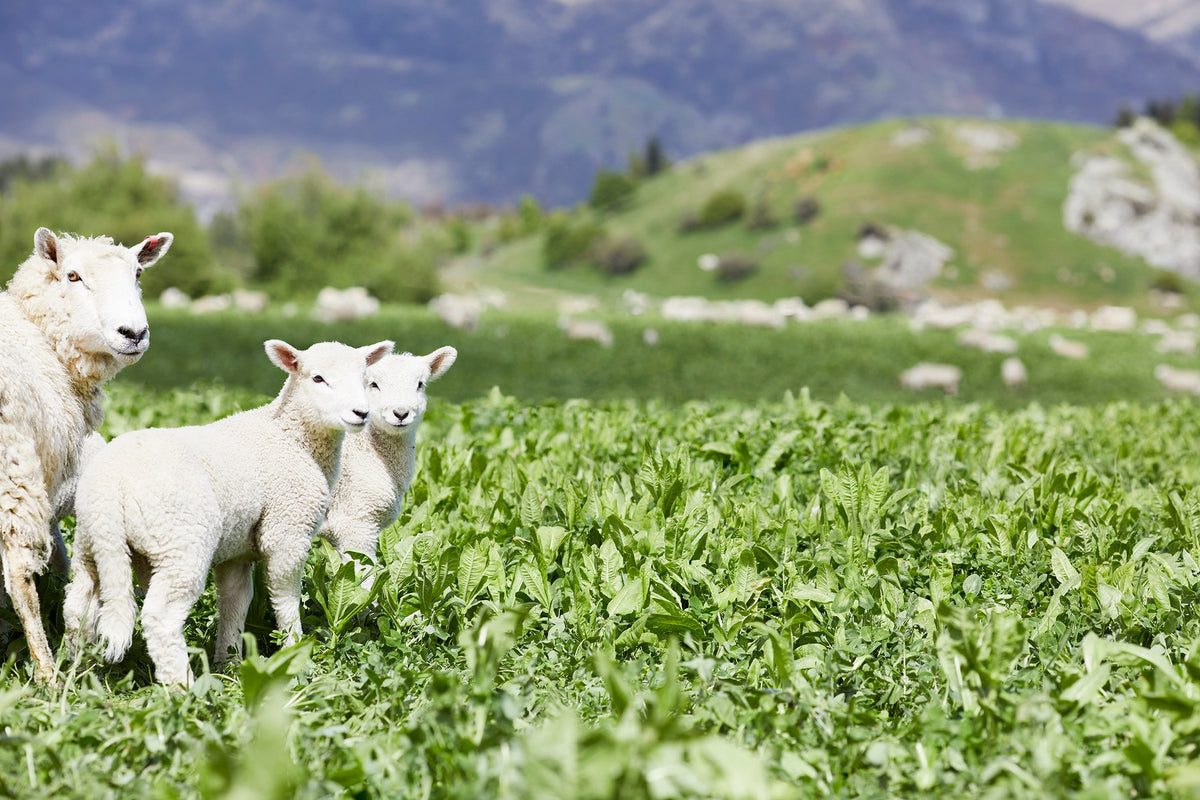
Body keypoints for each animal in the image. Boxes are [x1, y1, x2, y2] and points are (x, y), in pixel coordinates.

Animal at [0, 227, 172, 683]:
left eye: (137, 273)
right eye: (72, 276)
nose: (134, 333)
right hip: (11, 465)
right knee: (20, 575)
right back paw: (47, 673)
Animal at [64, 338, 394, 686]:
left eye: (364, 378)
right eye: (317, 378)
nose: (361, 413)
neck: (291, 438)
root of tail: (110, 487)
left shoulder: (236, 547)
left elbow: (235, 601)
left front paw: (230, 662)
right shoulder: (287, 528)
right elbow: (285, 597)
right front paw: (294, 651)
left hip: (92, 543)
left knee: (78, 607)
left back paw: (81, 675)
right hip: (181, 541)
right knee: (160, 617)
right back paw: (183, 688)